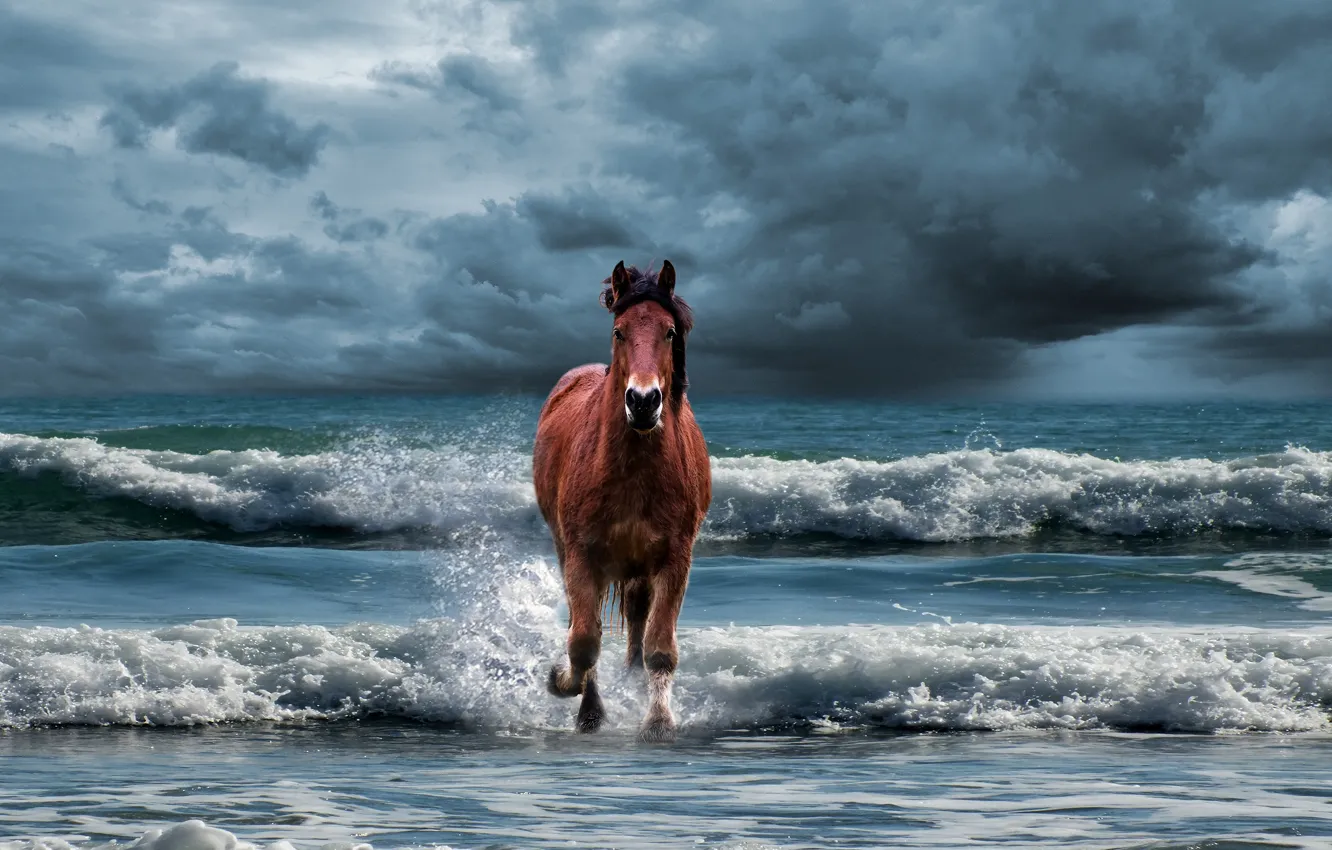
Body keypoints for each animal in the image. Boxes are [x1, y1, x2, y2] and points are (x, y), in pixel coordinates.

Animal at [532, 259, 711, 743]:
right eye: (619, 331)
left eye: (669, 332)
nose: (643, 401)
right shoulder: (581, 556)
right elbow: (583, 640)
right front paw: (570, 692)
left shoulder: (675, 558)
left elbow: (660, 646)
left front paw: (659, 722)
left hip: (639, 567)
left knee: (636, 620)